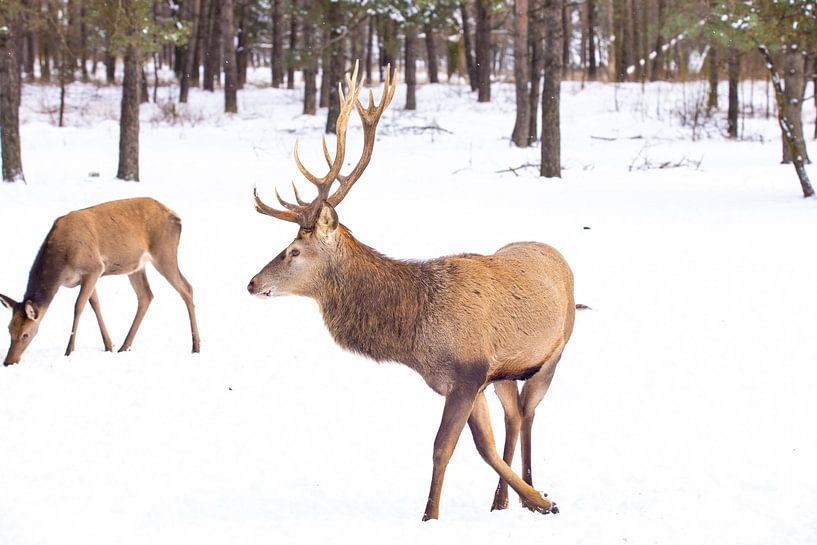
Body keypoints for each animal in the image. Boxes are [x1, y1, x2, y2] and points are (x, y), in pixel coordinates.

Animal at [1, 197, 200, 365]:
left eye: (25, 335)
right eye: (9, 329)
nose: (8, 362)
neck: (62, 265)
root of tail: (177, 217)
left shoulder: (94, 268)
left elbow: (78, 306)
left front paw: (69, 351)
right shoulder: (87, 277)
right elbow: (95, 305)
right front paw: (108, 345)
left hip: (164, 252)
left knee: (187, 288)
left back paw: (196, 346)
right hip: (136, 266)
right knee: (146, 295)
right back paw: (124, 346)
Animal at [247, 62, 576, 521]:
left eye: (294, 250)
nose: (252, 283)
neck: (414, 335)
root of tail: (559, 256)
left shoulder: (469, 372)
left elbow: (444, 447)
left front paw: (431, 516)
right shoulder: (468, 379)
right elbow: (485, 447)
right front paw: (534, 499)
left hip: (553, 353)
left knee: (529, 412)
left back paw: (527, 491)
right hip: (507, 373)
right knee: (514, 416)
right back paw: (504, 501)